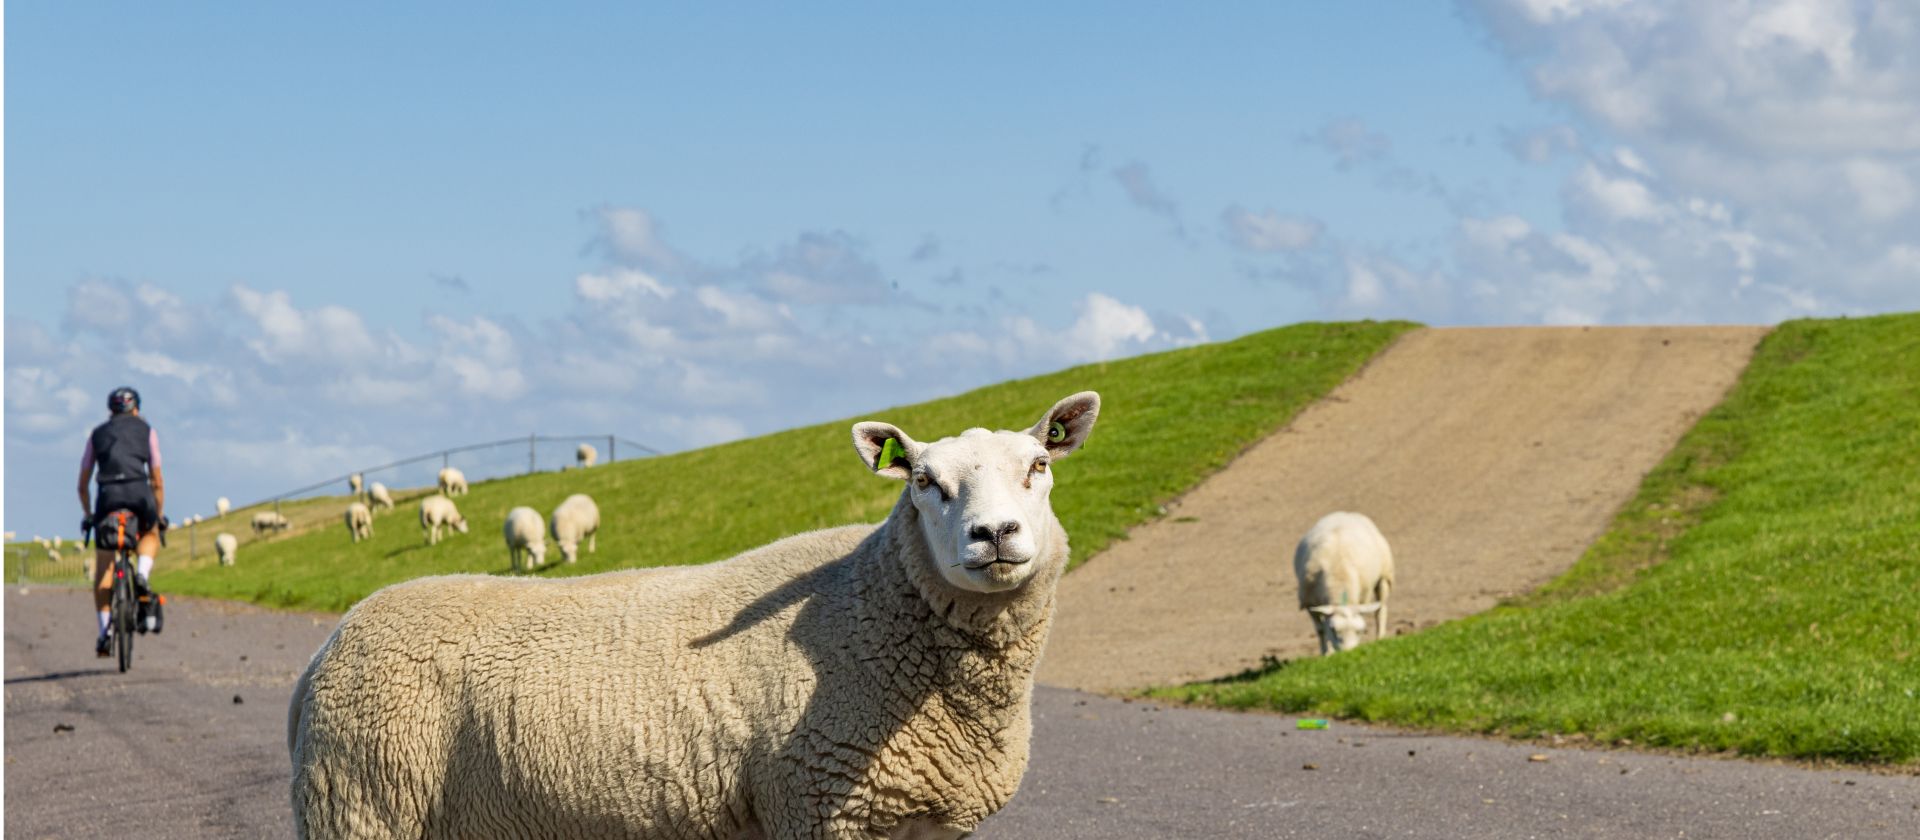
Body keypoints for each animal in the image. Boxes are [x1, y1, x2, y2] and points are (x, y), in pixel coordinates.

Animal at [288, 391, 1101, 839]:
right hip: (363, 804)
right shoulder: (817, 805)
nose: (994, 534)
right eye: (925, 482)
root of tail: (326, 651)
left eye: (1040, 466)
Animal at [1294, 511, 1396, 655]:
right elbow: (1321, 629)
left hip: (1385, 576)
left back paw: (1380, 638)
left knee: (1380, 610)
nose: (1348, 653)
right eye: (1334, 630)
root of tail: (1345, 513)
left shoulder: (1362, 597)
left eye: (1361, 631)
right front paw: (1326, 653)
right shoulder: (1309, 603)